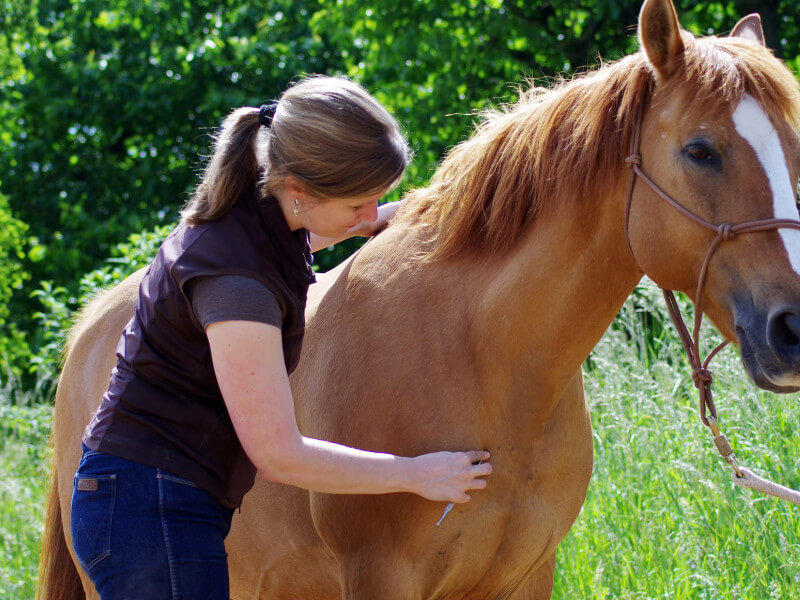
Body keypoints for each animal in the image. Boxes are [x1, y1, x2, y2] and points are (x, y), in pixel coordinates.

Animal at [37, 2, 800, 596]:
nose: (792, 329)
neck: (483, 359)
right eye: (700, 150)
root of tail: (92, 329)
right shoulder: (380, 574)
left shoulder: (527, 575)